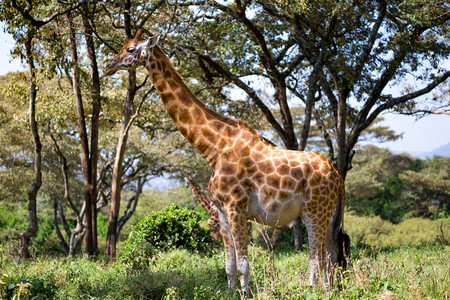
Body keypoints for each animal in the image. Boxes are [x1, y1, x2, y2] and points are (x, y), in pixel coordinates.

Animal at [106, 28, 348, 296]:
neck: (214, 148)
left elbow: (243, 262)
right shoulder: (222, 211)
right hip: (328, 214)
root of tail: (336, 174)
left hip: (313, 210)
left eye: (130, 49)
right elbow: (229, 264)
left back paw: (312, 290)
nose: (108, 67)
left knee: (317, 257)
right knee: (332, 254)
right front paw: (232, 291)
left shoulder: (236, 207)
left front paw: (246, 294)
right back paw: (330, 291)